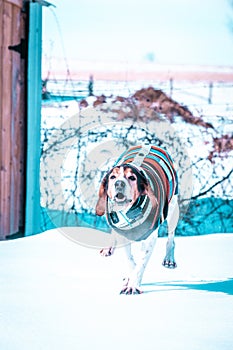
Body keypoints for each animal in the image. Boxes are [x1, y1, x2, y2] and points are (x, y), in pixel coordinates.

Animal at [95, 144, 179, 294]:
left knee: (171, 238)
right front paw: (131, 279)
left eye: (132, 178)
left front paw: (133, 285)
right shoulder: (123, 234)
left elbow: (141, 263)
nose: (119, 184)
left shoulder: (150, 237)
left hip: (173, 209)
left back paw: (169, 259)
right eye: (112, 177)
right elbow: (131, 261)